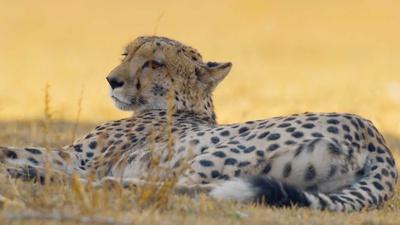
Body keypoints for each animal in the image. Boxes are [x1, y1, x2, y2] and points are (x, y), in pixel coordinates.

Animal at [0, 36, 396, 212]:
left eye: (154, 63)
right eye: (126, 54)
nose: (112, 80)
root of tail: (376, 138)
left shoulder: (79, 157)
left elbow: (17, 149)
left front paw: (17, 164)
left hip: (221, 150)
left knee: (167, 186)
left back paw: (37, 176)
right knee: (193, 189)